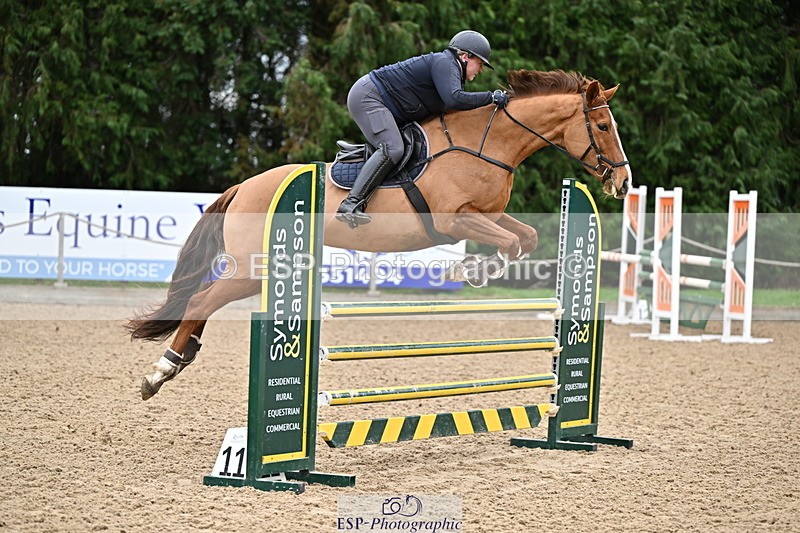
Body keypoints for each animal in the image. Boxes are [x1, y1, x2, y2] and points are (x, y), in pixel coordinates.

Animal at [127, 69, 632, 400]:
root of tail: (244, 186)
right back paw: (160, 372)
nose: (623, 183)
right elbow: (509, 242)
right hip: (254, 269)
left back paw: (181, 358)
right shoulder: (454, 219)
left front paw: (474, 270)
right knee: (200, 300)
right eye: (602, 125)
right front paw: (469, 270)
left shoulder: (488, 214)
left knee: (203, 303)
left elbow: (523, 237)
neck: (487, 143)